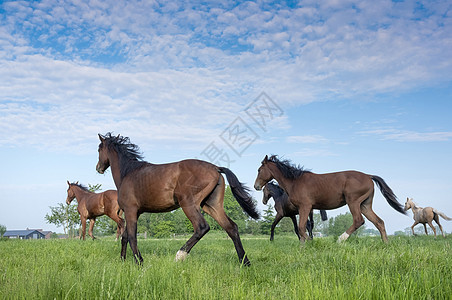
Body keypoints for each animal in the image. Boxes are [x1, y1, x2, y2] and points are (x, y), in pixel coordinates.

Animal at [94, 133, 262, 264]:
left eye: (99, 149)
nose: (98, 168)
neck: (128, 172)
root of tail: (216, 168)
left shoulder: (130, 211)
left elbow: (131, 236)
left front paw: (139, 262)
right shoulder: (136, 212)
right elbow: (125, 237)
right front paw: (123, 261)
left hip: (188, 204)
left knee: (202, 227)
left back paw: (179, 256)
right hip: (211, 206)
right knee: (231, 228)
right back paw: (245, 263)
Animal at [254, 156, 406, 243]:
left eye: (259, 170)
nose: (256, 186)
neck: (295, 181)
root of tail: (368, 176)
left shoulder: (304, 207)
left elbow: (302, 228)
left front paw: (309, 244)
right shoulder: (301, 210)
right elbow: (301, 229)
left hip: (353, 202)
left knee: (359, 220)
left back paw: (341, 239)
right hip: (365, 205)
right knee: (379, 222)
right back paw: (386, 244)